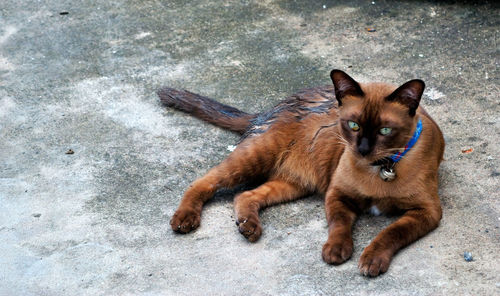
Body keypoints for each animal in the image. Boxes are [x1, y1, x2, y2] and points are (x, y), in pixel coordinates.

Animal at [158, 70, 444, 278]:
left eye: (385, 130)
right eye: (353, 125)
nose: (362, 149)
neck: (379, 169)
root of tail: (267, 110)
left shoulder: (426, 212)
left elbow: (391, 232)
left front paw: (372, 259)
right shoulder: (337, 195)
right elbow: (340, 225)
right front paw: (335, 251)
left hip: (294, 184)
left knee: (245, 195)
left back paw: (249, 227)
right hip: (253, 159)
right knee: (202, 181)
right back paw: (185, 219)